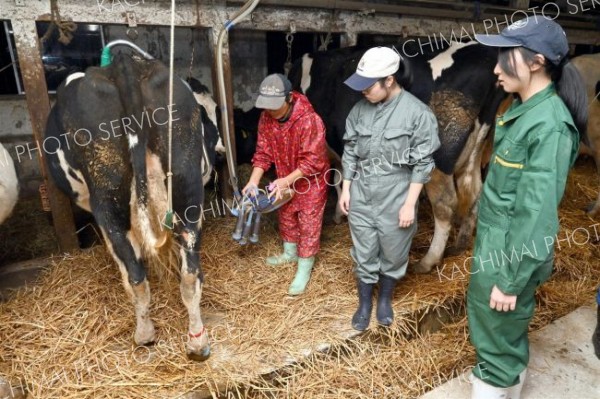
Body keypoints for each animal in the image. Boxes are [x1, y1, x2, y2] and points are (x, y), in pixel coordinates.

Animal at [44, 51, 220, 360]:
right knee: (190, 273)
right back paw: (197, 342)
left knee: (136, 276)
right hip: (187, 183)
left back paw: (144, 334)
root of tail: (123, 65)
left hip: (108, 199)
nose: (220, 147)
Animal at [288, 40, 508, 274]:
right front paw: (340, 212)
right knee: (475, 192)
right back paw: (460, 245)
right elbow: (340, 176)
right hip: (476, 149)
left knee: (445, 204)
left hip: (436, 158)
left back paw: (428, 261)